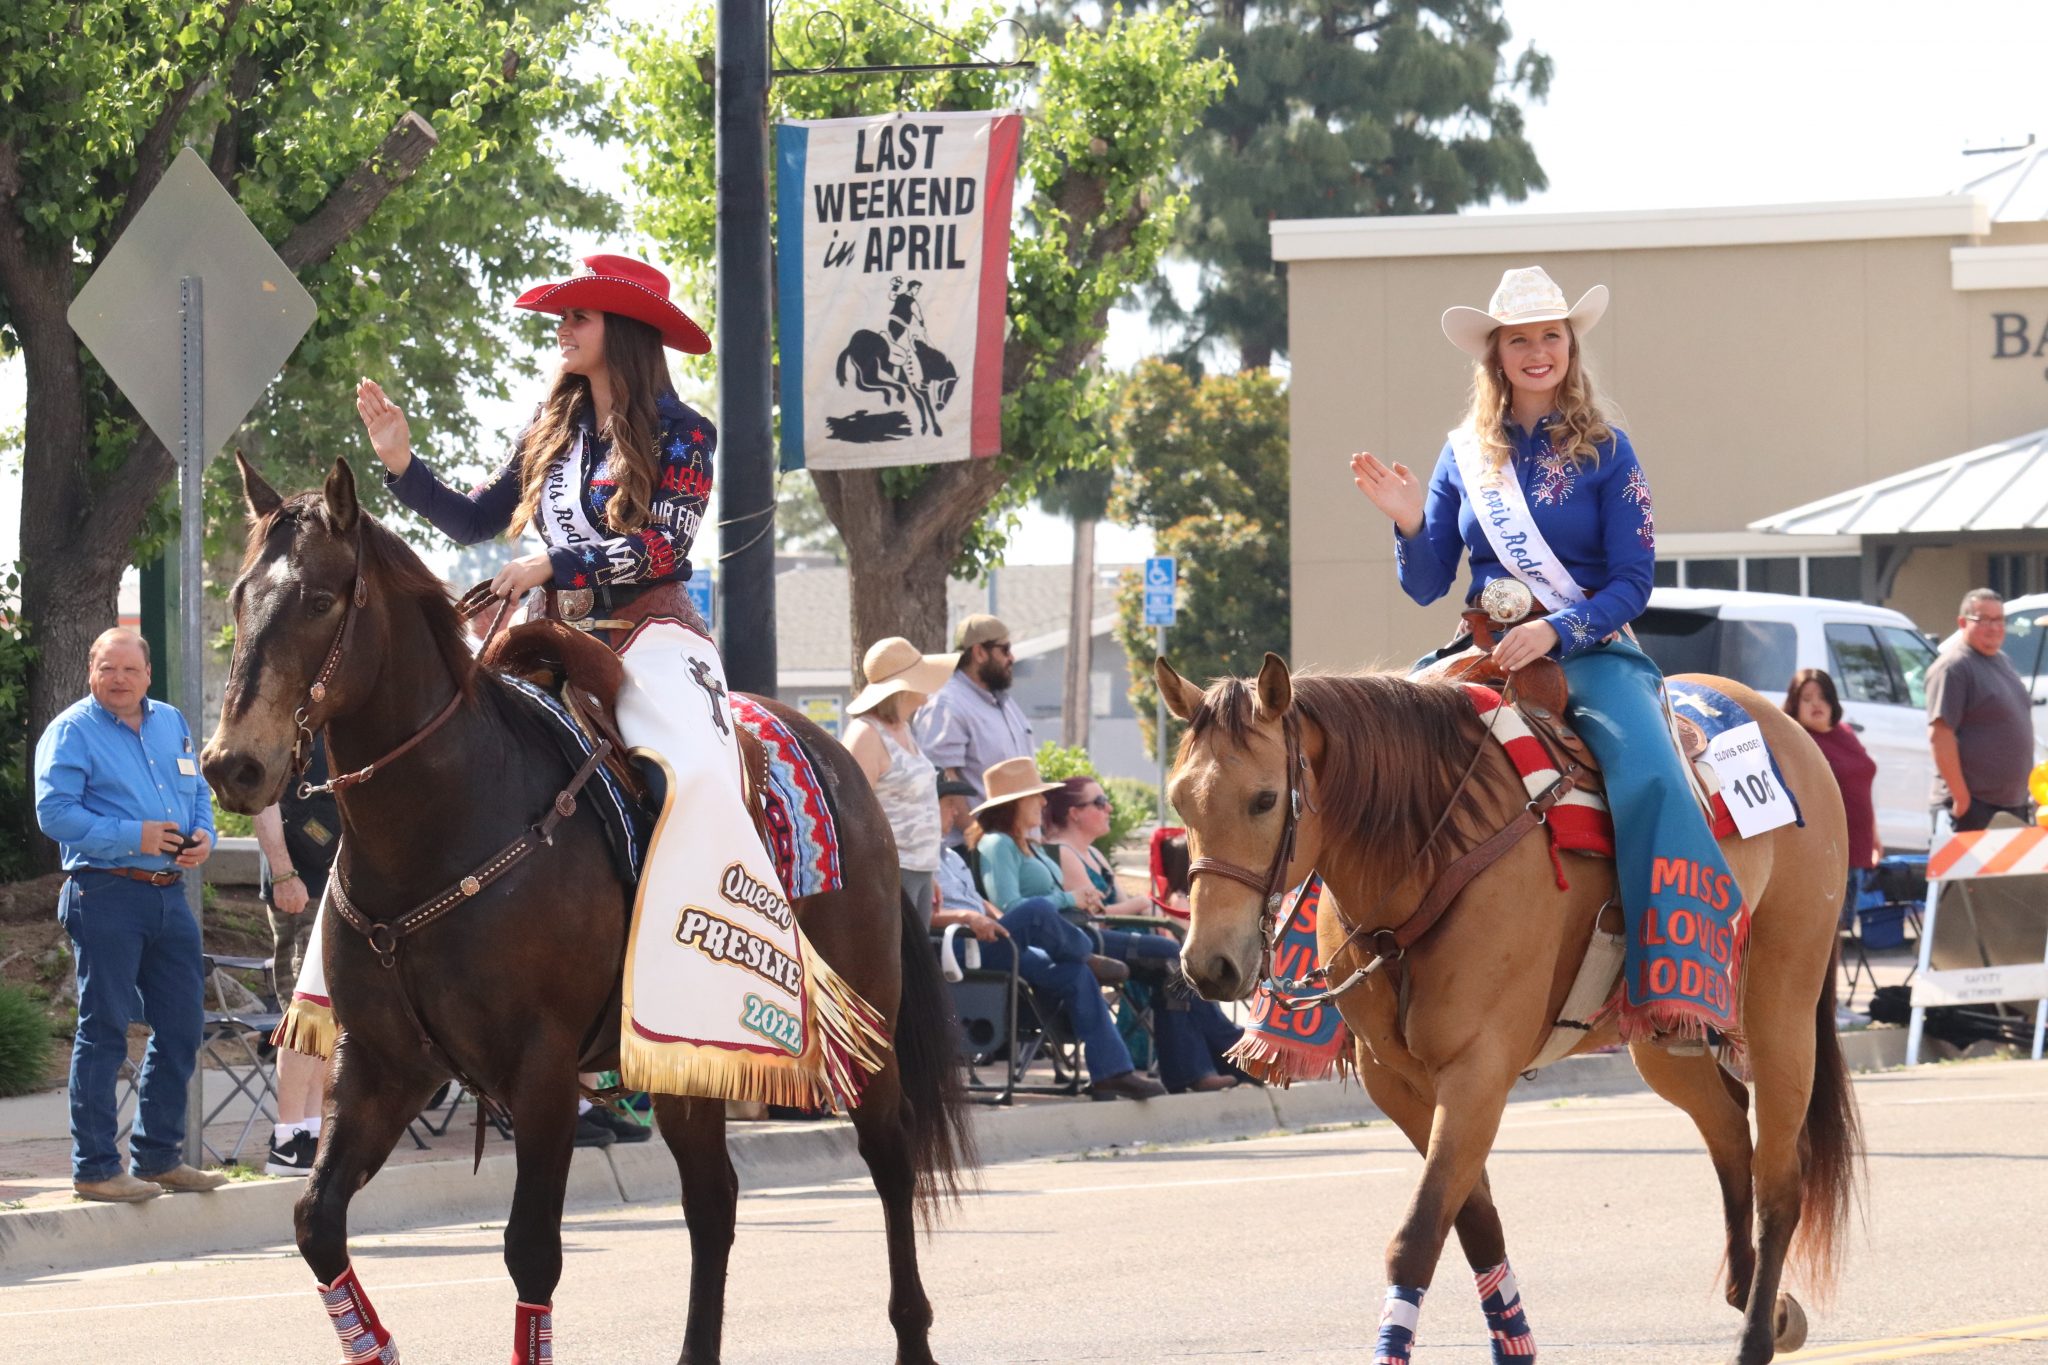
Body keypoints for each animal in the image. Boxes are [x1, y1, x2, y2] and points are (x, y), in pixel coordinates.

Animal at [203, 462, 970, 1365]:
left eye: (321, 598)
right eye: (239, 597)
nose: (231, 765)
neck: (442, 820)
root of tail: (841, 758)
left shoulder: (539, 1069)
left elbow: (532, 1250)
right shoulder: (381, 1064)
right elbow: (316, 1220)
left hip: (864, 1032)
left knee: (891, 1161)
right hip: (688, 1055)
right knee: (713, 1200)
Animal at [1163, 654, 1867, 1358]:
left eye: (1264, 799)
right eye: (1178, 802)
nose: (1208, 964)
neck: (1431, 851)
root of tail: (1786, 725)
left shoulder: (1478, 1072)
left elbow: (1418, 1236)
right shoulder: (1397, 1080)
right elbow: (1474, 1222)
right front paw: (1513, 1343)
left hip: (1781, 1005)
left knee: (1779, 1174)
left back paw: (1755, 1334)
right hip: (1665, 1034)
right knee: (1730, 1132)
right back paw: (1759, 1300)